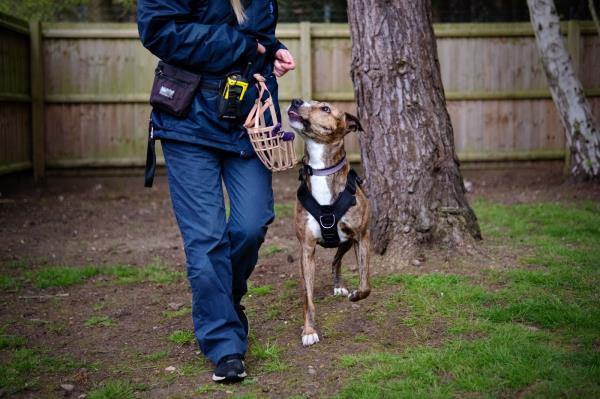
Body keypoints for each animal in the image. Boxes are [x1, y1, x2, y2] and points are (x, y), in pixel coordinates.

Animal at [286, 100, 370, 346]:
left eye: (325, 108)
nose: (295, 101)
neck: (321, 169)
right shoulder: (306, 248)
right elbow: (308, 298)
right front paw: (308, 331)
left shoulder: (362, 236)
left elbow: (365, 284)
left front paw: (355, 295)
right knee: (332, 263)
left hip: (347, 241)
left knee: (336, 261)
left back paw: (340, 286)